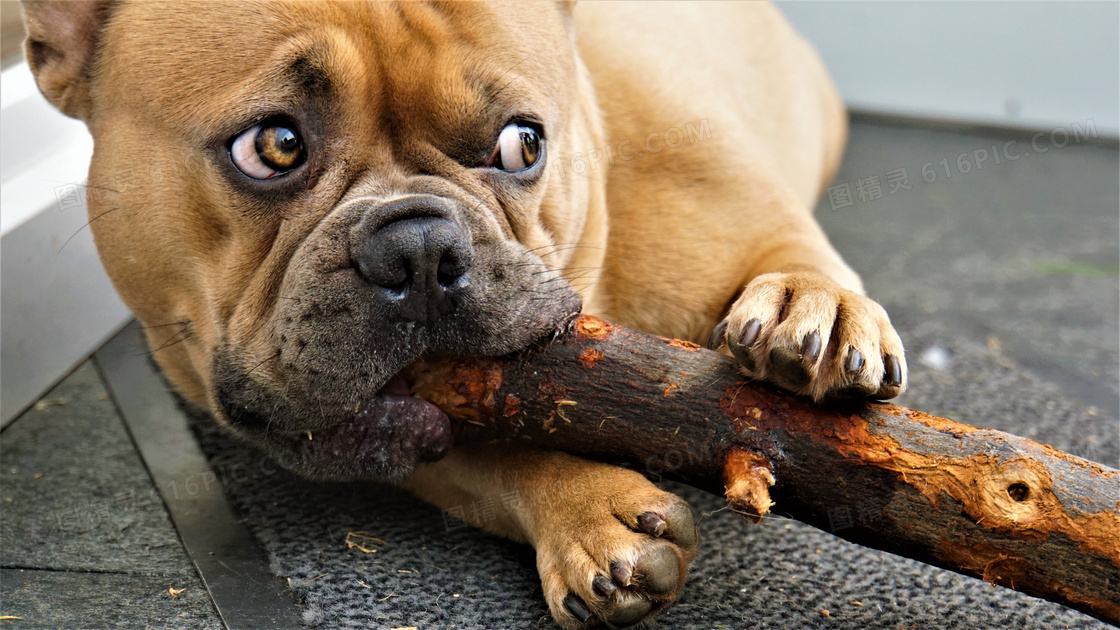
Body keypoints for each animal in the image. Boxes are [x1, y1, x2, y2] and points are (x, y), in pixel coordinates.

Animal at [21, 0, 904, 623]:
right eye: (273, 145)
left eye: (524, 144)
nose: (418, 249)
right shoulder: (427, 448)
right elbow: (502, 449)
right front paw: (588, 508)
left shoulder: (748, 213)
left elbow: (794, 252)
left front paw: (814, 305)